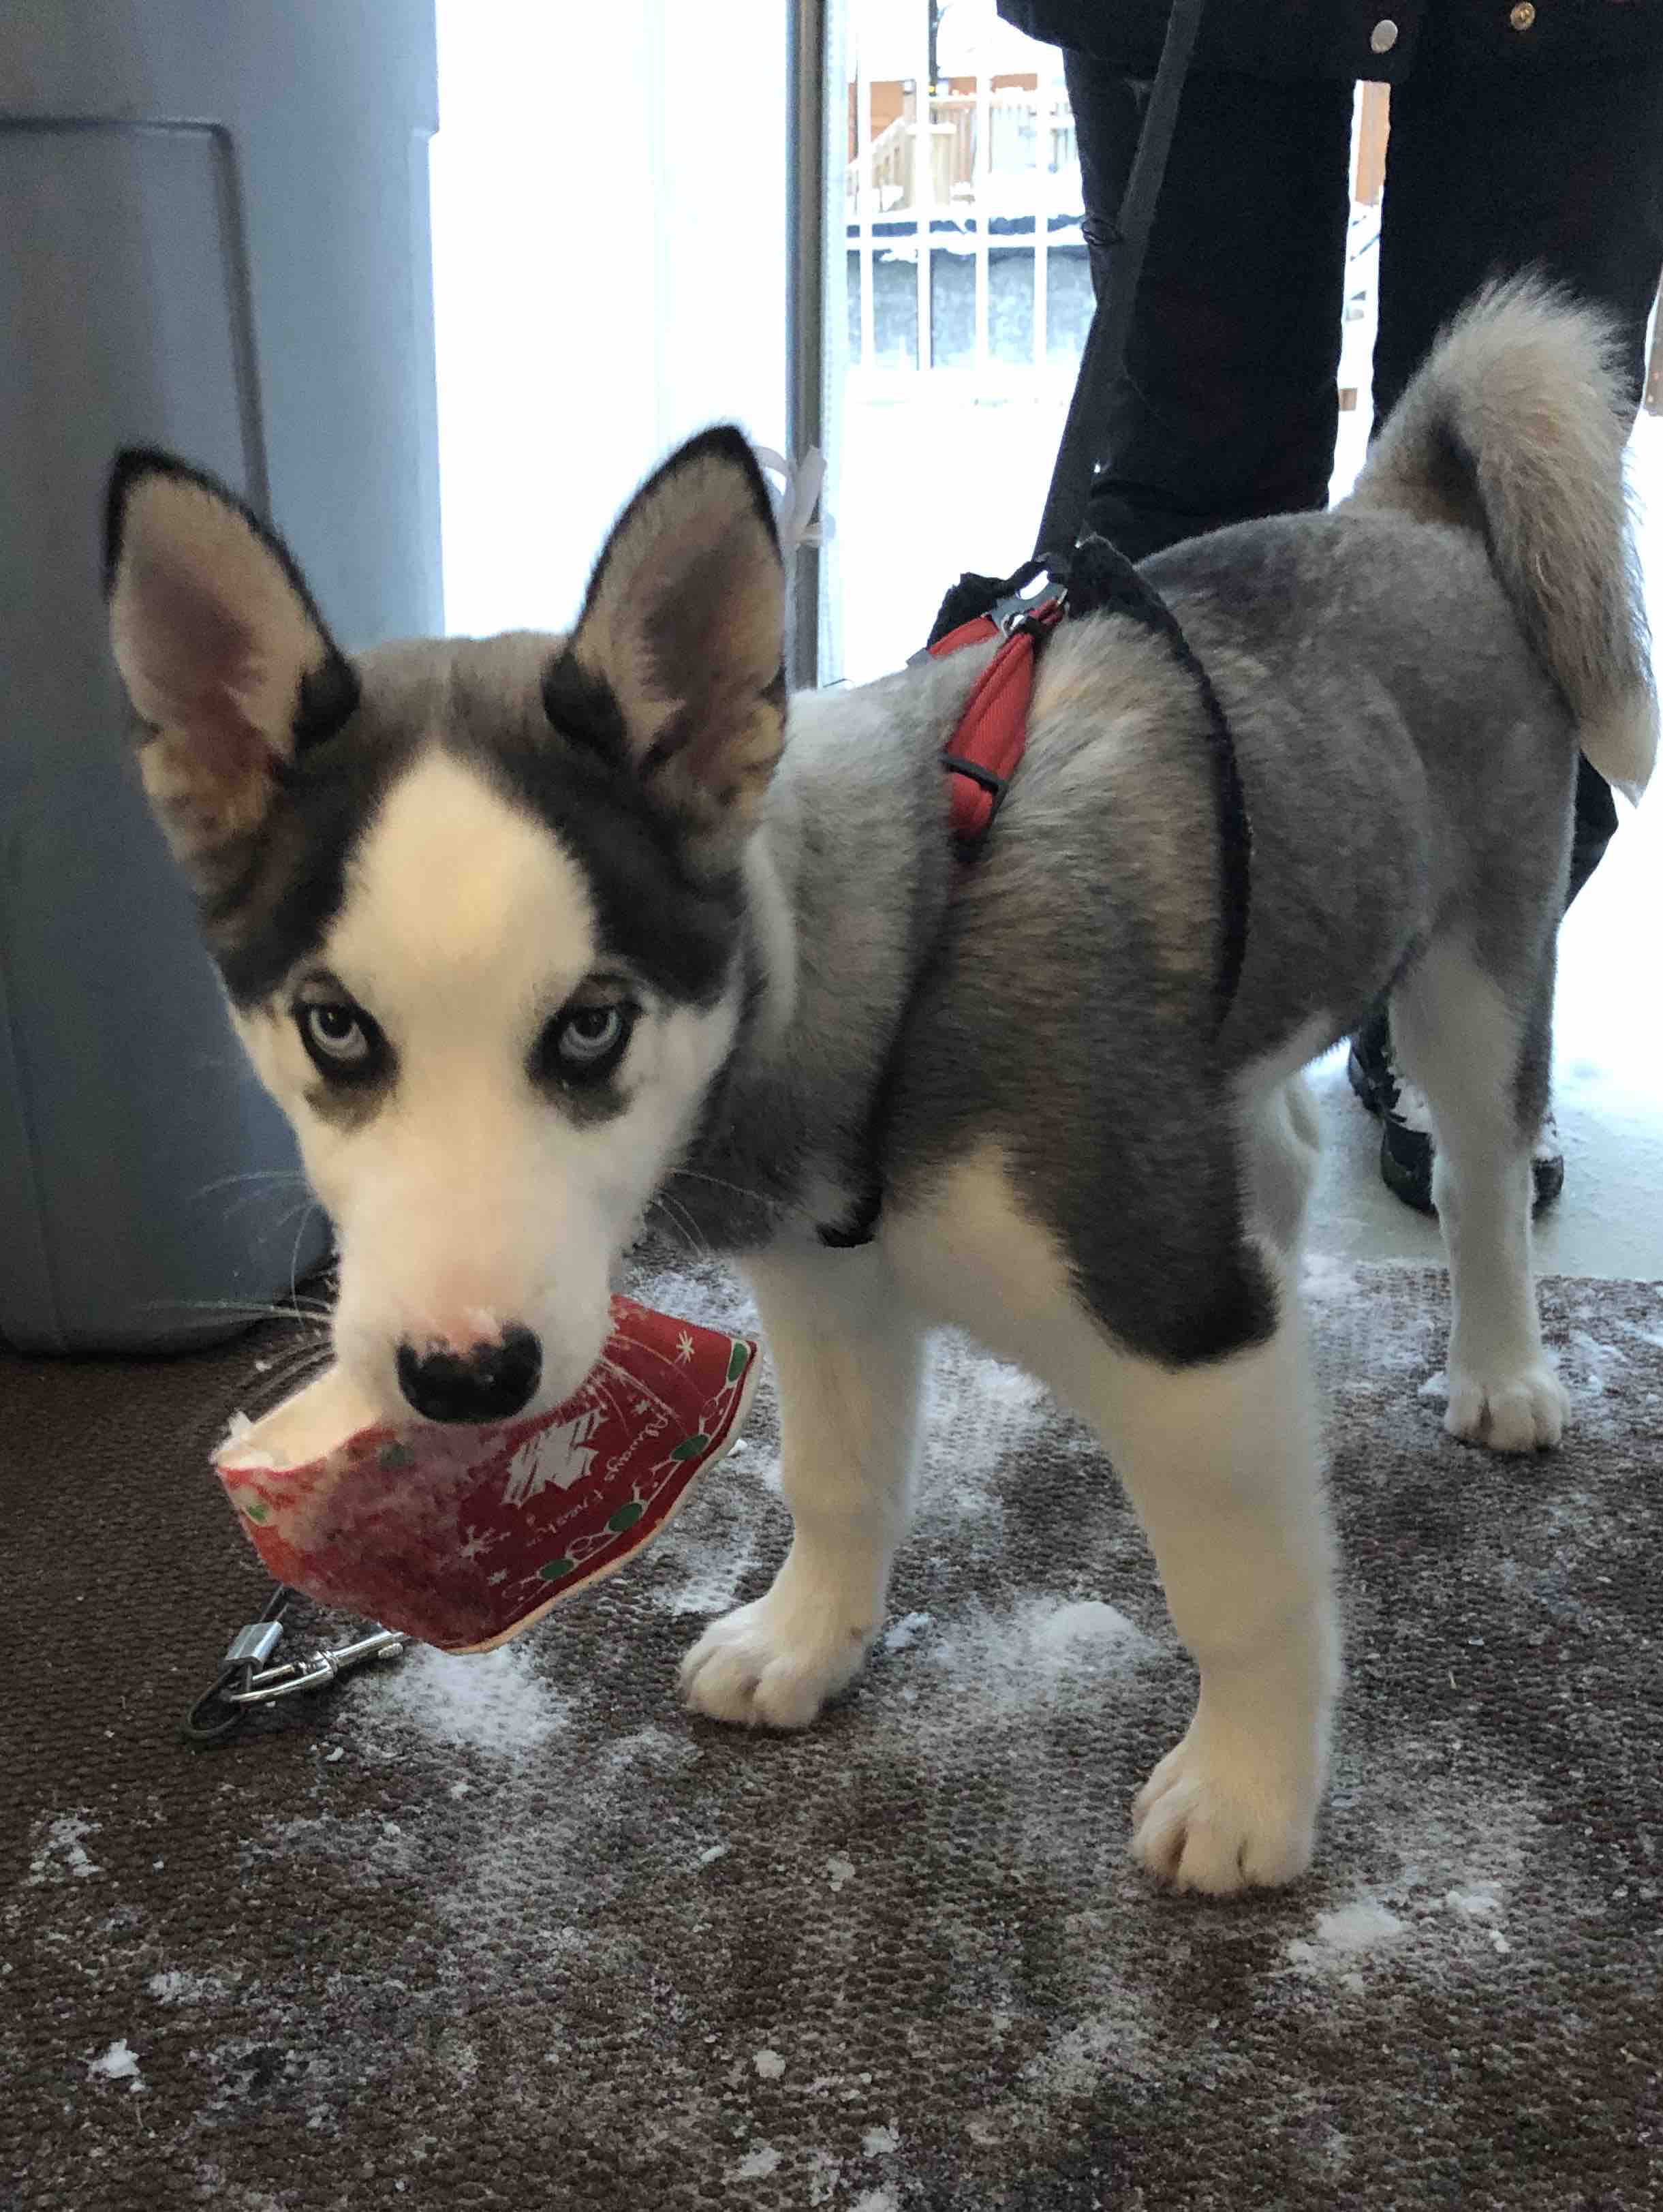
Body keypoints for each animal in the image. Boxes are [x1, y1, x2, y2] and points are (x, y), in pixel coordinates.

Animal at [104, 280, 1655, 1893]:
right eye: (334, 1028)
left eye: (591, 1027)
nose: (462, 1378)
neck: (887, 963)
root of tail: (1400, 506)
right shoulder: (824, 1276)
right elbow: (836, 1478)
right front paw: (807, 1643)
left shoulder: (1176, 1320)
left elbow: (1239, 1585)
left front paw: (1249, 1792)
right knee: (1274, 1144)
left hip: (1474, 964)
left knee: (1479, 1172)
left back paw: (1499, 1370)